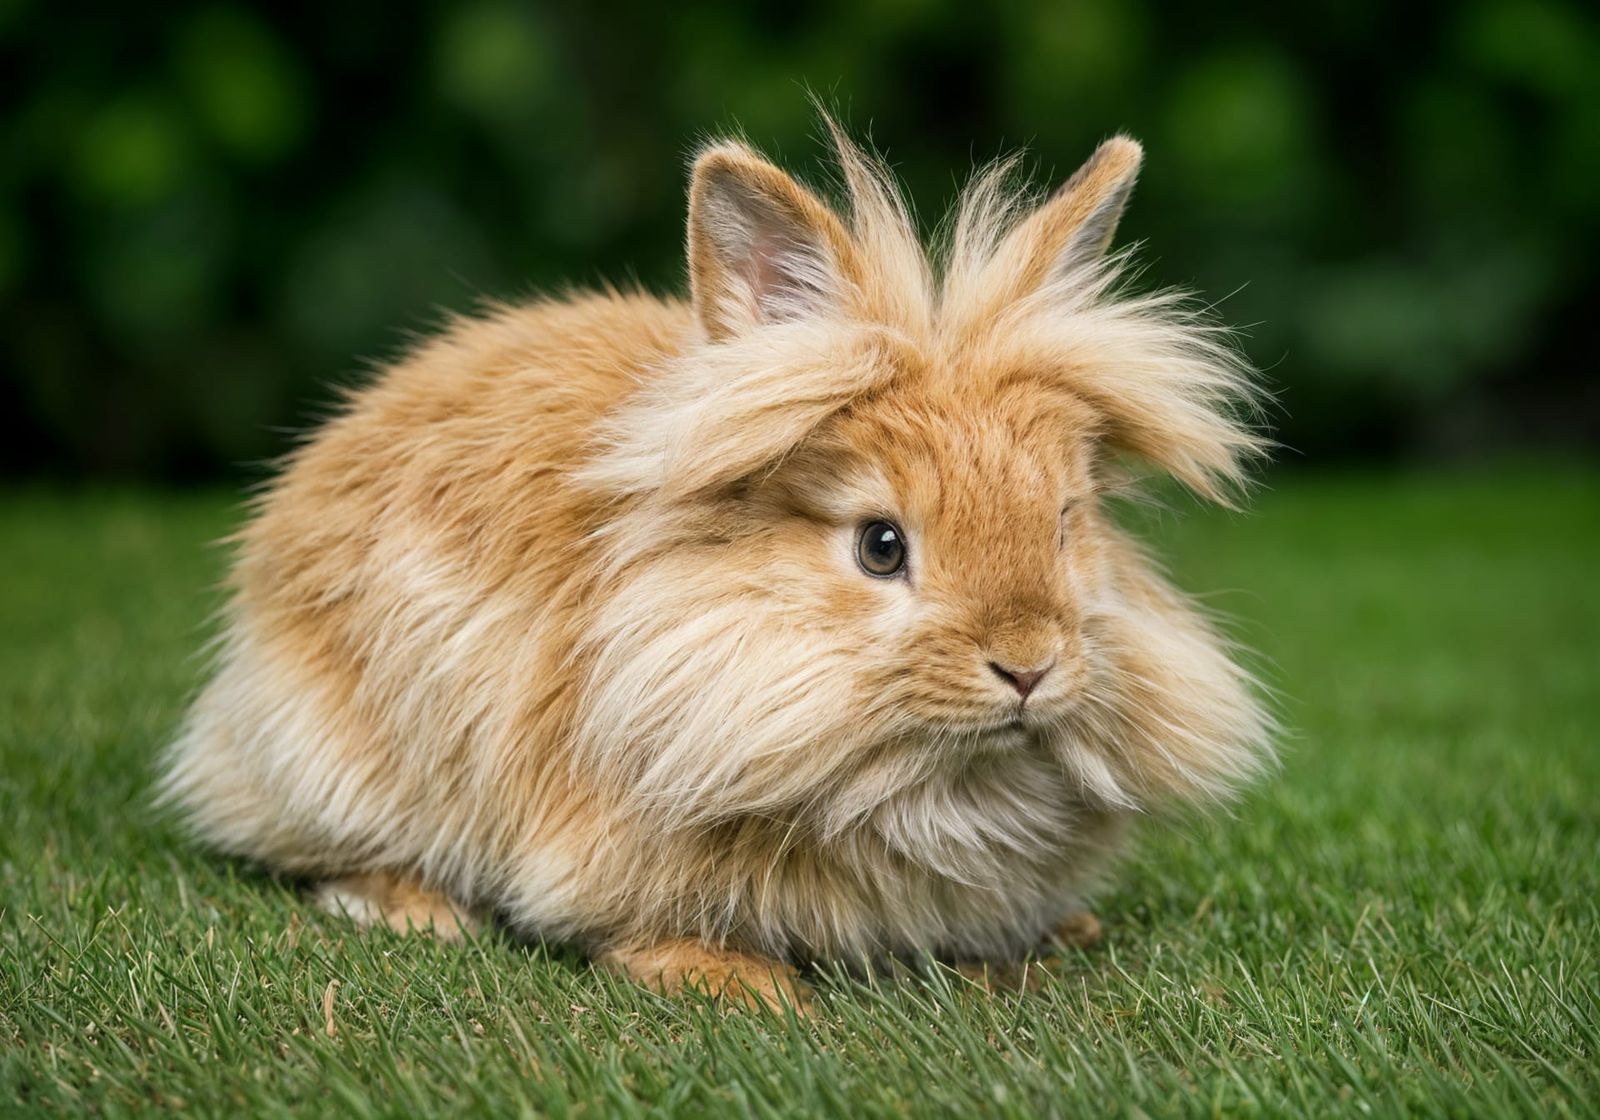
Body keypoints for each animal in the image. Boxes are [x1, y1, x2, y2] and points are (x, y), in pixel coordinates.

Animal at [162, 120, 1271, 1012]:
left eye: (1066, 522)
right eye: (880, 545)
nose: (1030, 664)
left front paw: (1047, 940)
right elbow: (633, 921)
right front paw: (746, 986)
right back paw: (417, 910)